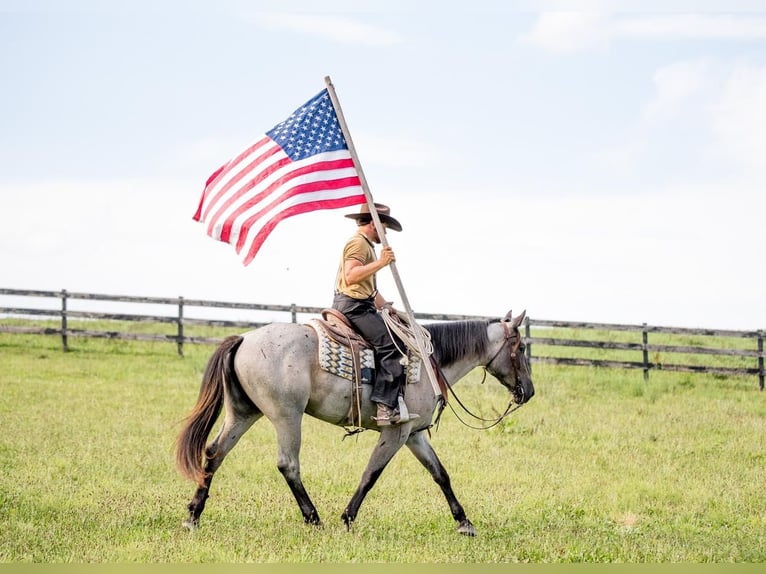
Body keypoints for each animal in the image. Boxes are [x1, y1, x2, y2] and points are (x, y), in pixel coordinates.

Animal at [176, 308, 536, 536]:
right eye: (520, 347)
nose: (529, 391)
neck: (428, 361)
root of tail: (244, 339)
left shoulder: (414, 435)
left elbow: (440, 474)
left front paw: (464, 522)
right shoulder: (396, 432)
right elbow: (371, 474)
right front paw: (347, 518)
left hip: (243, 412)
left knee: (214, 453)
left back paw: (194, 515)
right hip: (286, 416)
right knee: (288, 464)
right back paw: (313, 519)